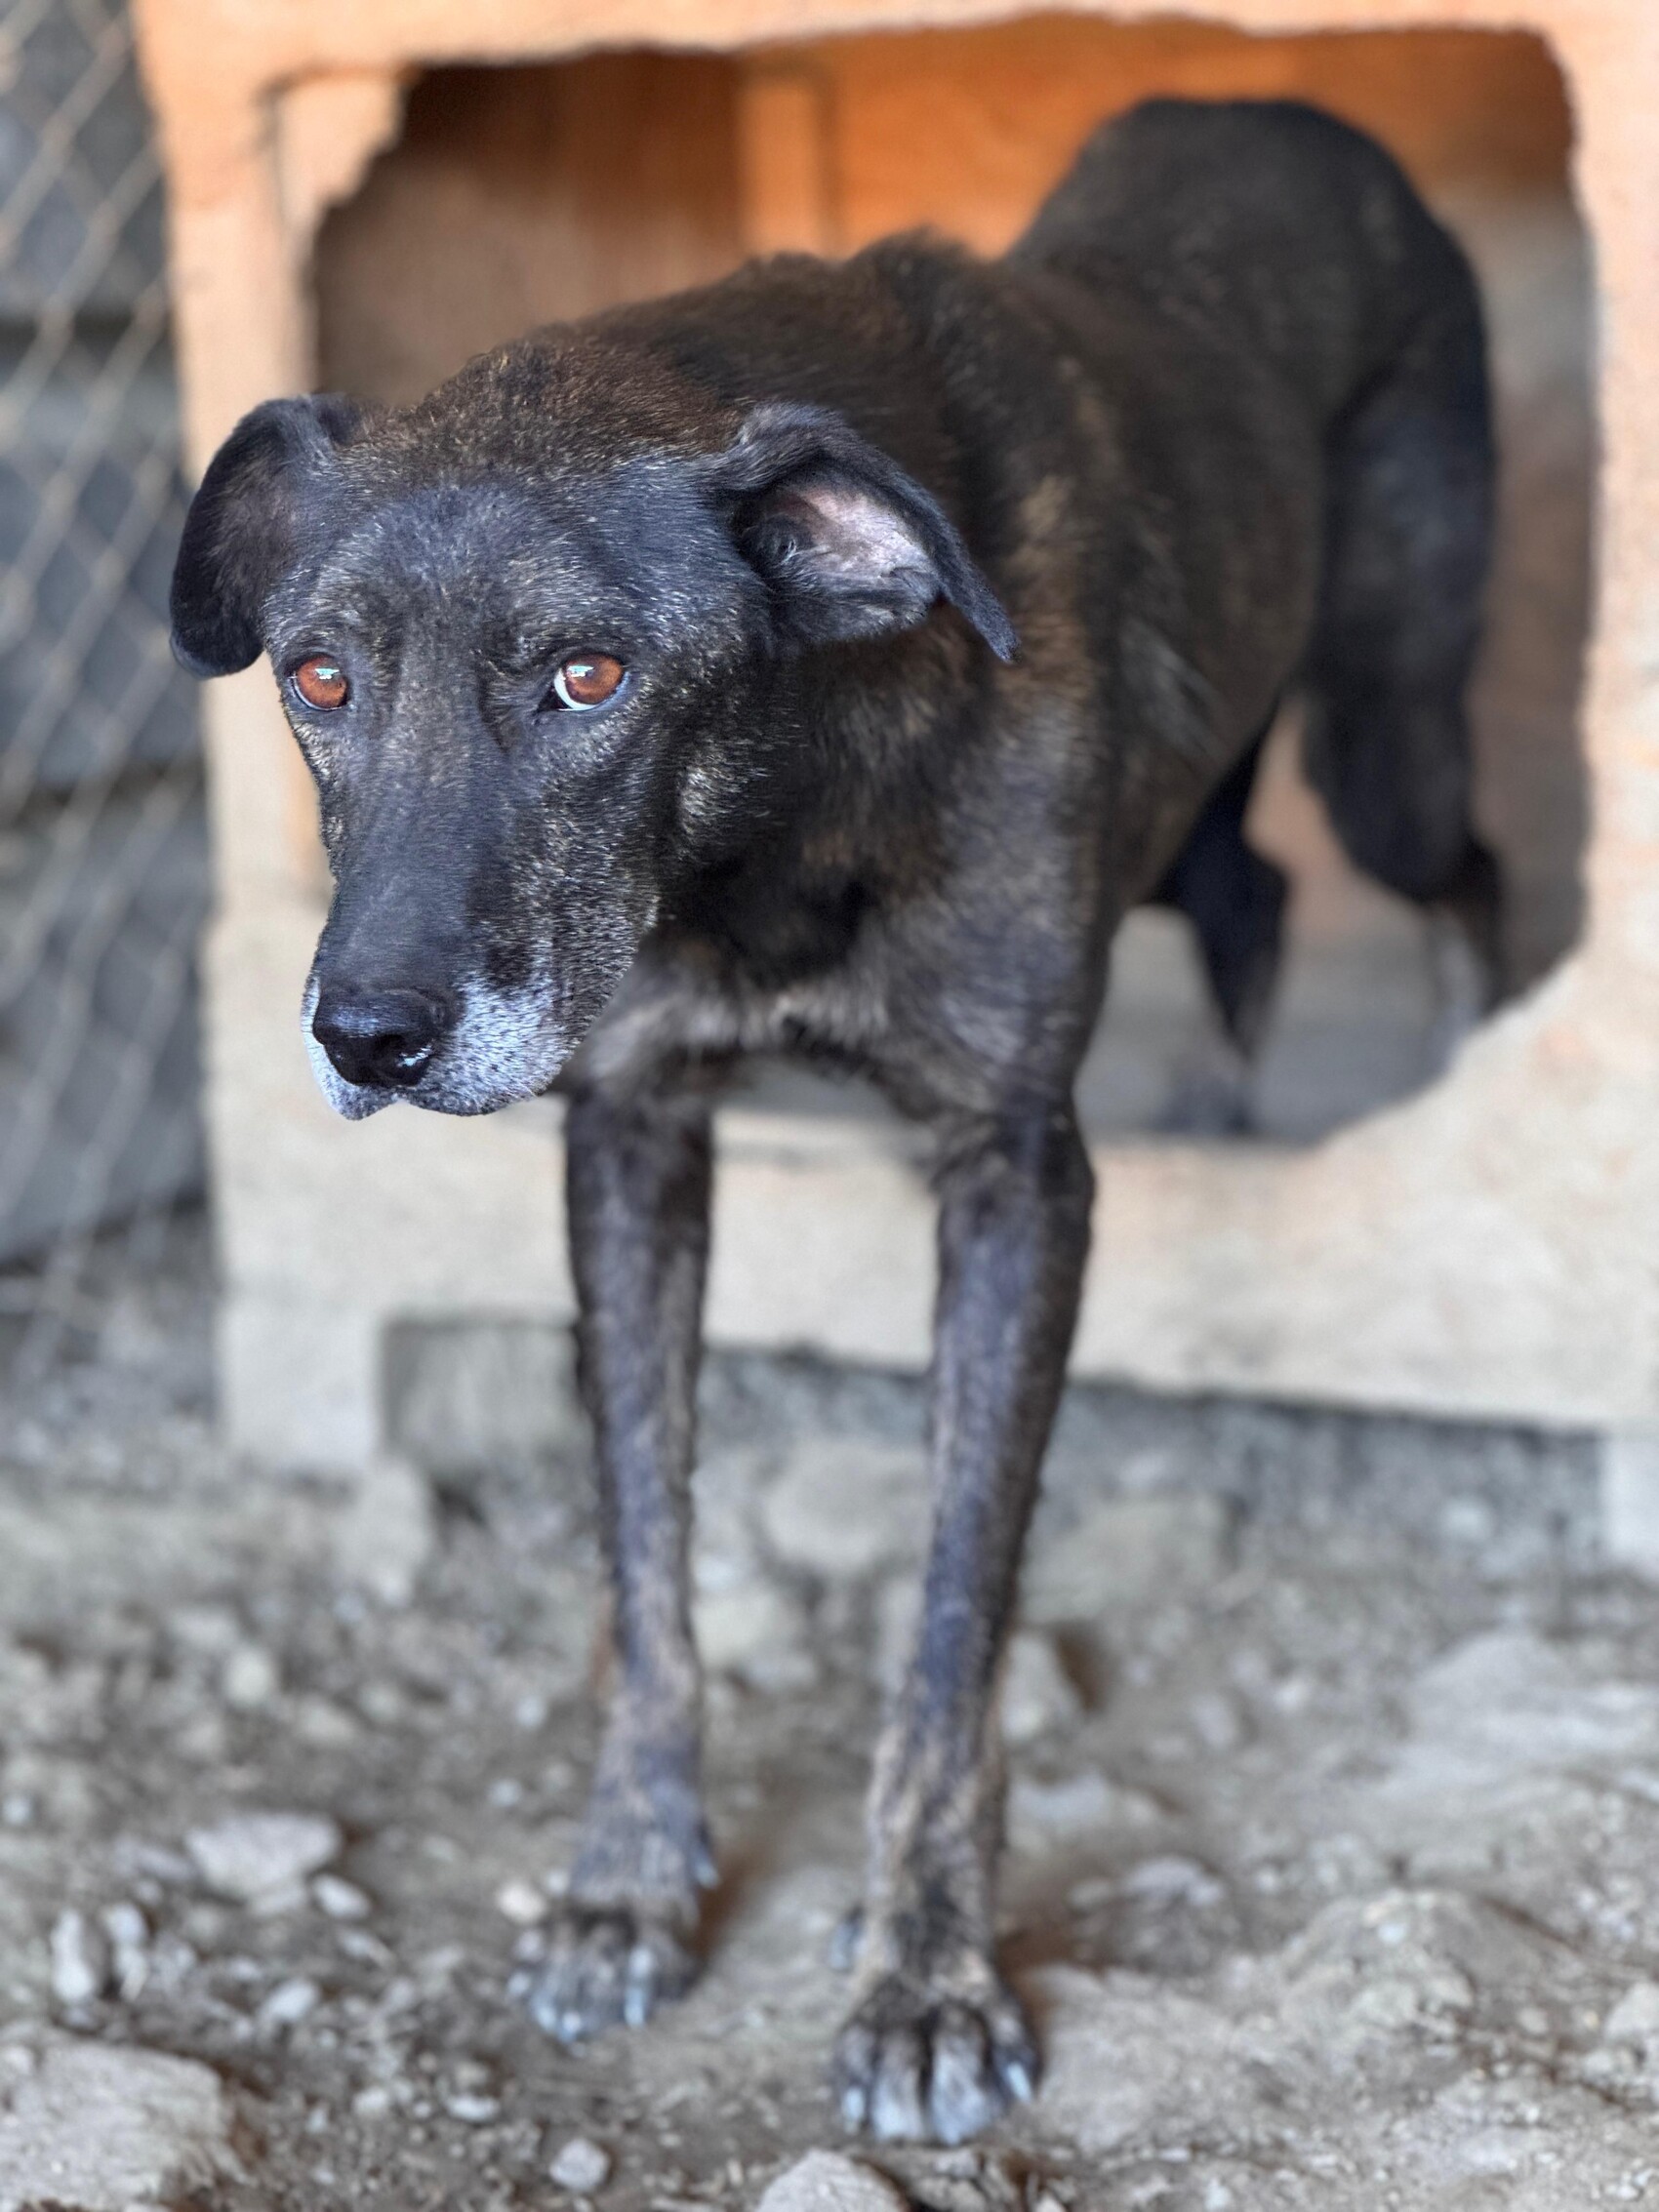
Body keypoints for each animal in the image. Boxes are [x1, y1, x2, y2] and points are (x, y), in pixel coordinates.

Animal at [171, 98, 1500, 2145]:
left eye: (589, 675)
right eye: (318, 678)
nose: (367, 1038)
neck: (765, 832)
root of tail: (1288, 109)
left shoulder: (1016, 1178)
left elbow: (951, 1627)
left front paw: (928, 1976)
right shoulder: (631, 1136)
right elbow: (644, 1560)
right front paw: (628, 1884)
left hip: (1391, 736)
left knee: (1458, 870)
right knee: (1253, 889)